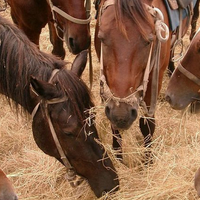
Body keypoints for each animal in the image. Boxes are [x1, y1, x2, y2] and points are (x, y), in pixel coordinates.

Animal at [94, 0, 197, 161]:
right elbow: (113, 125)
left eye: (149, 41)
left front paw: (148, 160)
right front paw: (118, 157)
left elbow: (147, 124)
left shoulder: (154, 80)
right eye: (101, 38)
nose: (121, 115)